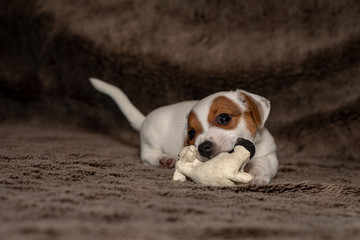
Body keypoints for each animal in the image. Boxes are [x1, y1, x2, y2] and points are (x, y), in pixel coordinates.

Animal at [89, 78, 278, 185]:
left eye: (223, 118)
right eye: (192, 133)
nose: (203, 147)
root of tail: (144, 120)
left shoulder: (270, 155)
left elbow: (262, 162)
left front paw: (256, 174)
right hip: (151, 139)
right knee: (147, 156)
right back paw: (165, 159)